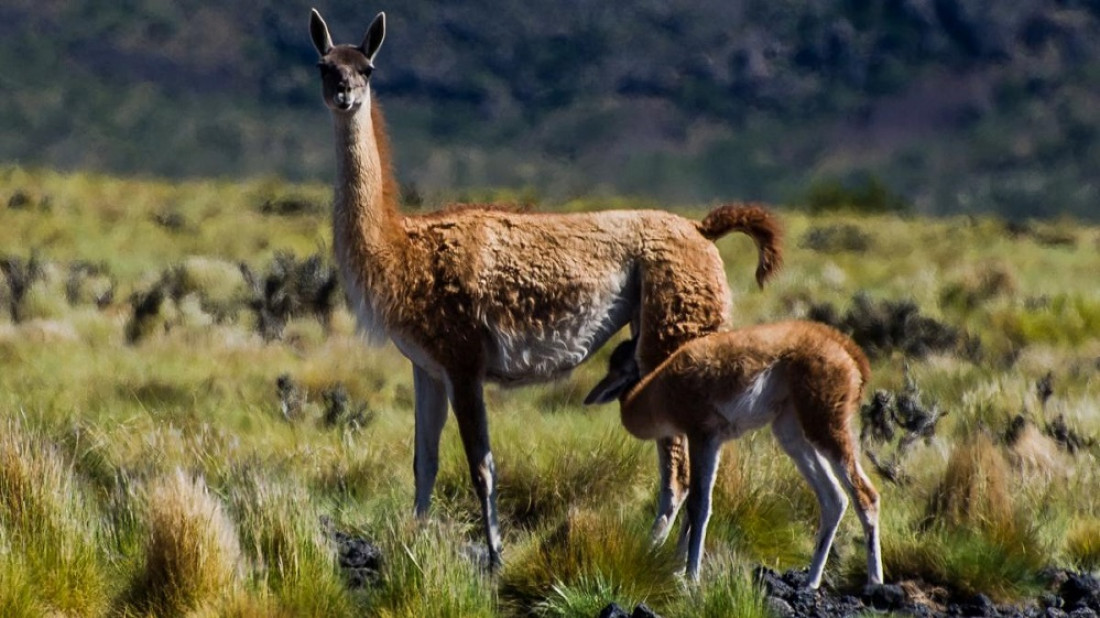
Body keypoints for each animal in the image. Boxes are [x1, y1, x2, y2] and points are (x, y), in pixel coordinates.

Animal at [585, 318, 884, 585]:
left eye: (622, 364)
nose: (597, 391)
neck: (657, 391)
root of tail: (848, 351)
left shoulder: (701, 434)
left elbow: (699, 504)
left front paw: (691, 576)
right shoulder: (713, 440)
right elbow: (696, 504)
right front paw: (679, 569)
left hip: (825, 423)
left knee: (865, 495)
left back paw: (874, 581)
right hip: (791, 431)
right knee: (834, 499)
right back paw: (811, 581)